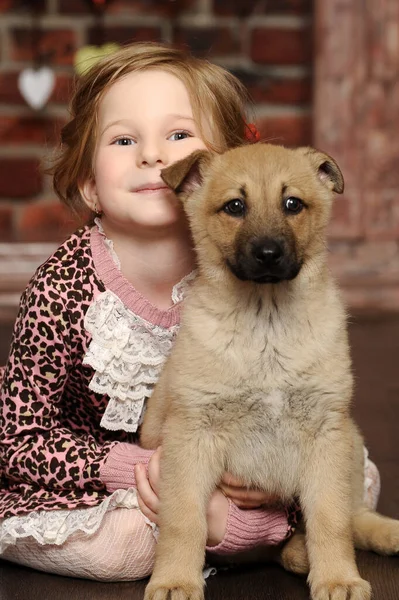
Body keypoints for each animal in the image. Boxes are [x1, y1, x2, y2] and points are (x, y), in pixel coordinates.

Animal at [140, 144, 399, 600]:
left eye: (292, 204)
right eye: (235, 206)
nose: (268, 254)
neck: (266, 322)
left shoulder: (326, 435)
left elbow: (331, 519)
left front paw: (338, 578)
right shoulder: (190, 438)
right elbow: (184, 519)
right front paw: (174, 580)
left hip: (350, 439)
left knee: (355, 515)